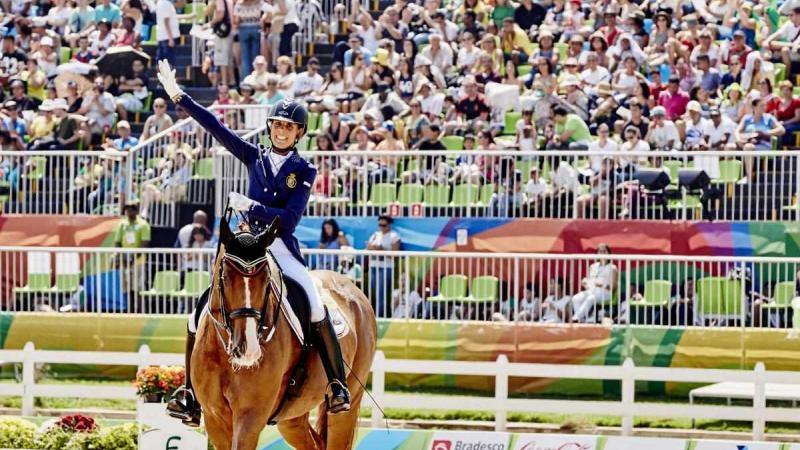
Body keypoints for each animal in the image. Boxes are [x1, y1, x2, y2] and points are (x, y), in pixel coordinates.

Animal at [195, 216, 380, 448]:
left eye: (267, 280)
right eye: (226, 278)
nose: (248, 350)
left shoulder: (250, 416)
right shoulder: (214, 417)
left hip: (348, 404)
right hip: (292, 417)